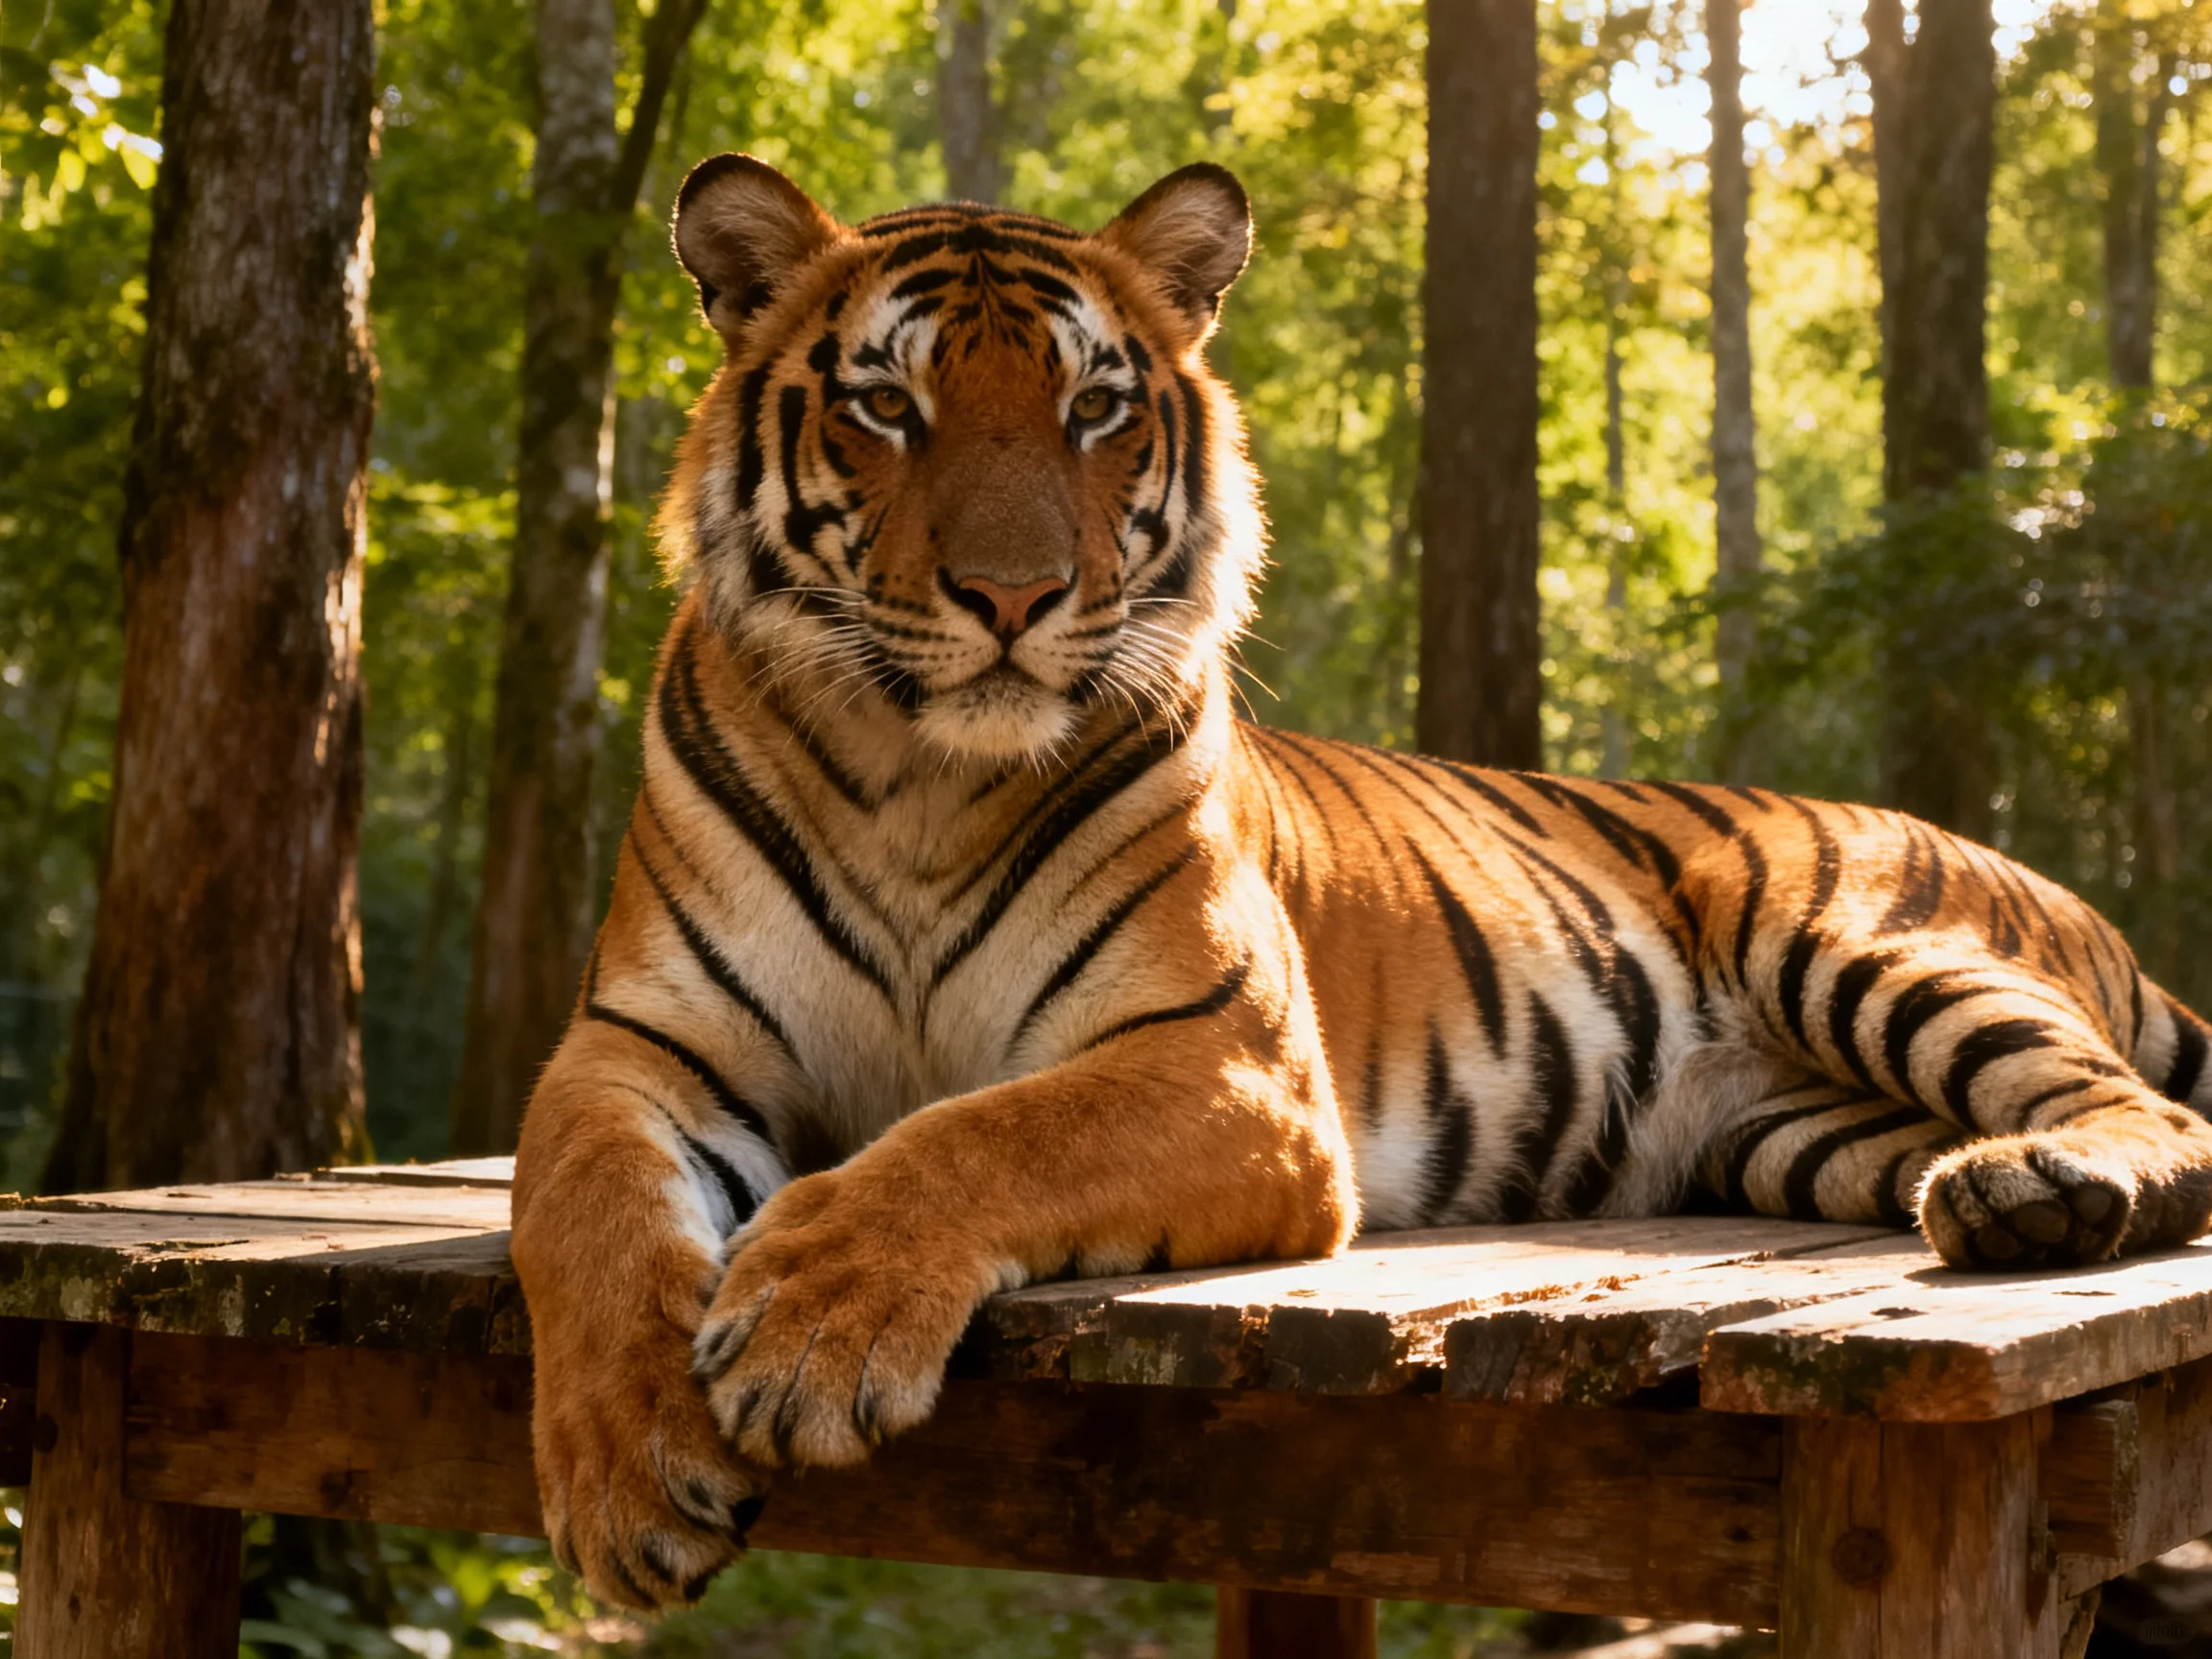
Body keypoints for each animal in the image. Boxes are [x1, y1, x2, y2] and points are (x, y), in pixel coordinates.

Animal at [509, 153, 2212, 1609]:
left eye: (1095, 408)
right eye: (886, 406)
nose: (1012, 597)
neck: (923, 781)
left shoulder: (1222, 1058)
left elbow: (974, 1137)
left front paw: (810, 1327)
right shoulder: (641, 1044)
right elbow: (580, 1207)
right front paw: (632, 1471)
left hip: (1846, 933)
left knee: (2152, 1111)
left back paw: (2030, 1190)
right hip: (1794, 1137)